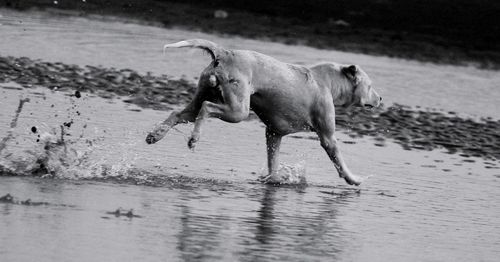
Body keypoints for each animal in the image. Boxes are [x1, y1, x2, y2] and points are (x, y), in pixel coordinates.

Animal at [146, 39, 380, 186]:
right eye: (370, 86)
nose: (380, 99)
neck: (329, 82)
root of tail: (224, 53)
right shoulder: (328, 137)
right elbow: (340, 161)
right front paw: (354, 180)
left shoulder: (274, 134)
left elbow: (272, 161)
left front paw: (273, 179)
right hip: (237, 110)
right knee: (206, 108)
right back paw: (194, 138)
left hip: (200, 100)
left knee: (178, 114)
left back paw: (155, 135)